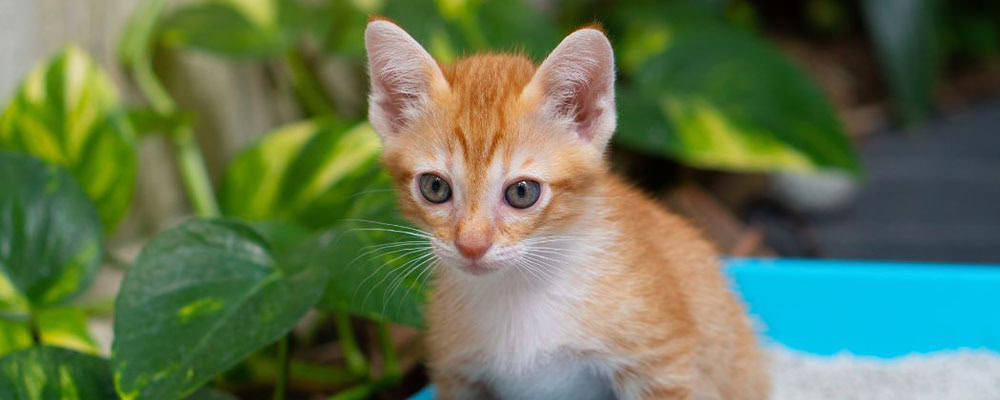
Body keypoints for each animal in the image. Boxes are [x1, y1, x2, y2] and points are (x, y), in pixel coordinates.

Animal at [364, 17, 768, 398]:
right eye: (435, 187)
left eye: (522, 192)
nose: (472, 246)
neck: (519, 290)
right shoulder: (456, 372)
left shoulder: (663, 363)